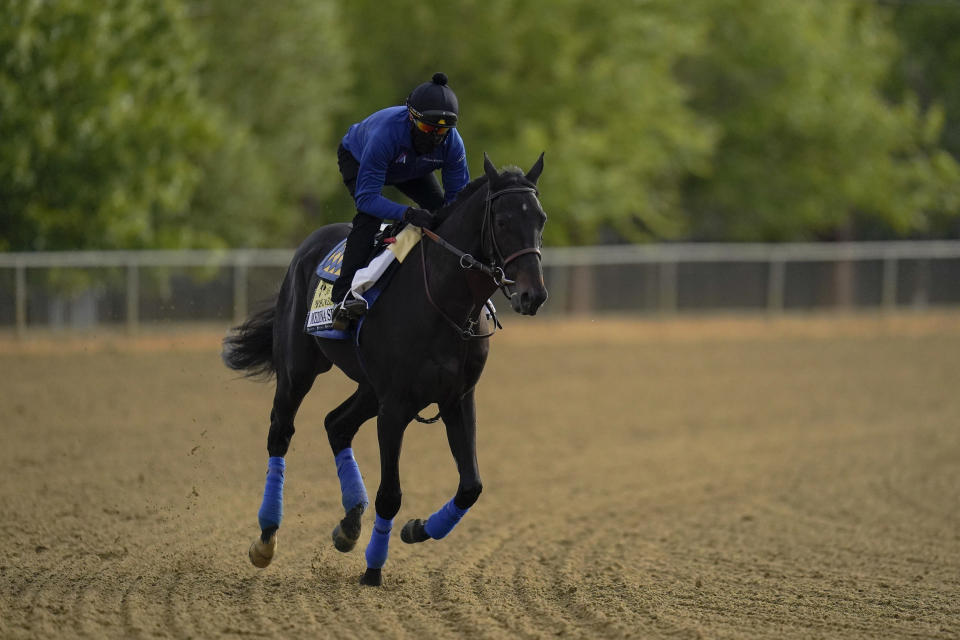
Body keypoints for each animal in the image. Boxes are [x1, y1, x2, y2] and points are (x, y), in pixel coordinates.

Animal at [219, 151, 548, 584]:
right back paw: (266, 538)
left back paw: (349, 525)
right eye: (503, 221)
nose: (533, 294)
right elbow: (390, 494)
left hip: (369, 388)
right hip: (299, 370)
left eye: (541, 219)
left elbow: (471, 486)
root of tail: (307, 247)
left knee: (336, 424)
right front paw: (374, 568)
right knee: (280, 432)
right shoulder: (395, 406)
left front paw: (417, 529)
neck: (443, 302)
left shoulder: (457, 398)